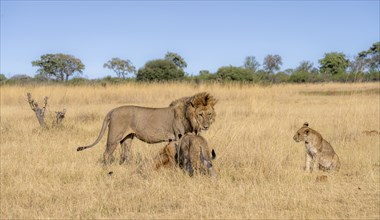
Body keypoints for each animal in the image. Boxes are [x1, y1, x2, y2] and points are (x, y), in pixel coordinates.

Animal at [76, 91, 217, 165]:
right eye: (200, 114)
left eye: (209, 114)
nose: (206, 126)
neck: (187, 115)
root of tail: (112, 111)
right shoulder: (178, 137)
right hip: (114, 137)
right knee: (106, 153)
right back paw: (106, 168)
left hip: (127, 138)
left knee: (125, 154)